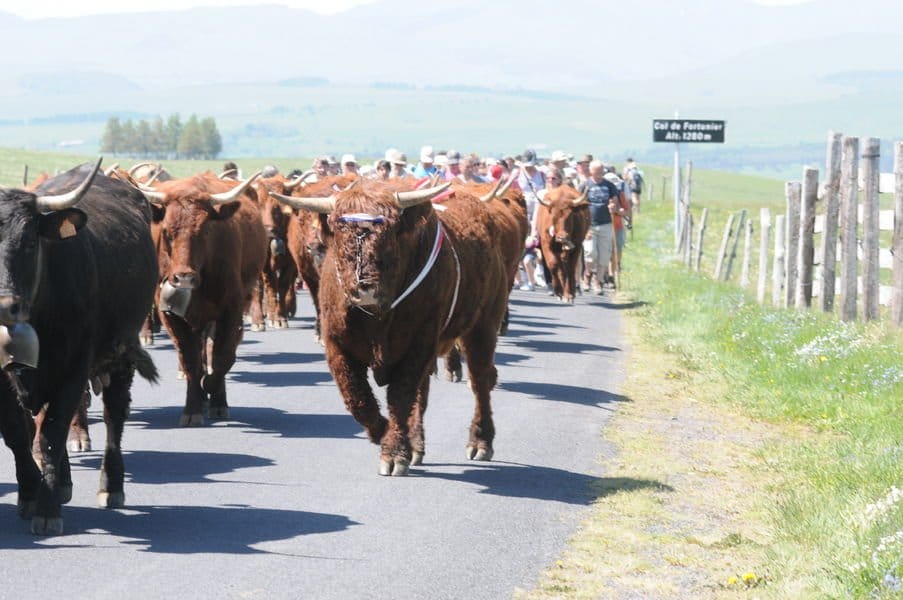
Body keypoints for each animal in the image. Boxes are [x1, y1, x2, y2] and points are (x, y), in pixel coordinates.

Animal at [0, 159, 159, 536]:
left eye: (30, 241)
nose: (4, 306)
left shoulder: (73, 368)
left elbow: (52, 433)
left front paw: (46, 510)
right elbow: (17, 431)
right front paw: (31, 492)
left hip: (121, 352)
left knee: (115, 415)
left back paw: (110, 486)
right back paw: (62, 481)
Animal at [139, 173, 268, 426]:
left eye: (205, 231)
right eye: (167, 231)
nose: (183, 277)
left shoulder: (231, 310)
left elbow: (222, 357)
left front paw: (211, 391)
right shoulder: (170, 315)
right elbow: (191, 361)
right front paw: (192, 407)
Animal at [272, 178, 512, 474]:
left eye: (391, 233)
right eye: (340, 232)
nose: (364, 288)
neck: (376, 318)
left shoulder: (419, 344)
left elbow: (400, 397)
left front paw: (395, 452)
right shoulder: (337, 346)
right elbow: (357, 398)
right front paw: (388, 435)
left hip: (482, 327)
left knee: (480, 381)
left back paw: (480, 442)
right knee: (427, 392)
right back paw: (417, 445)